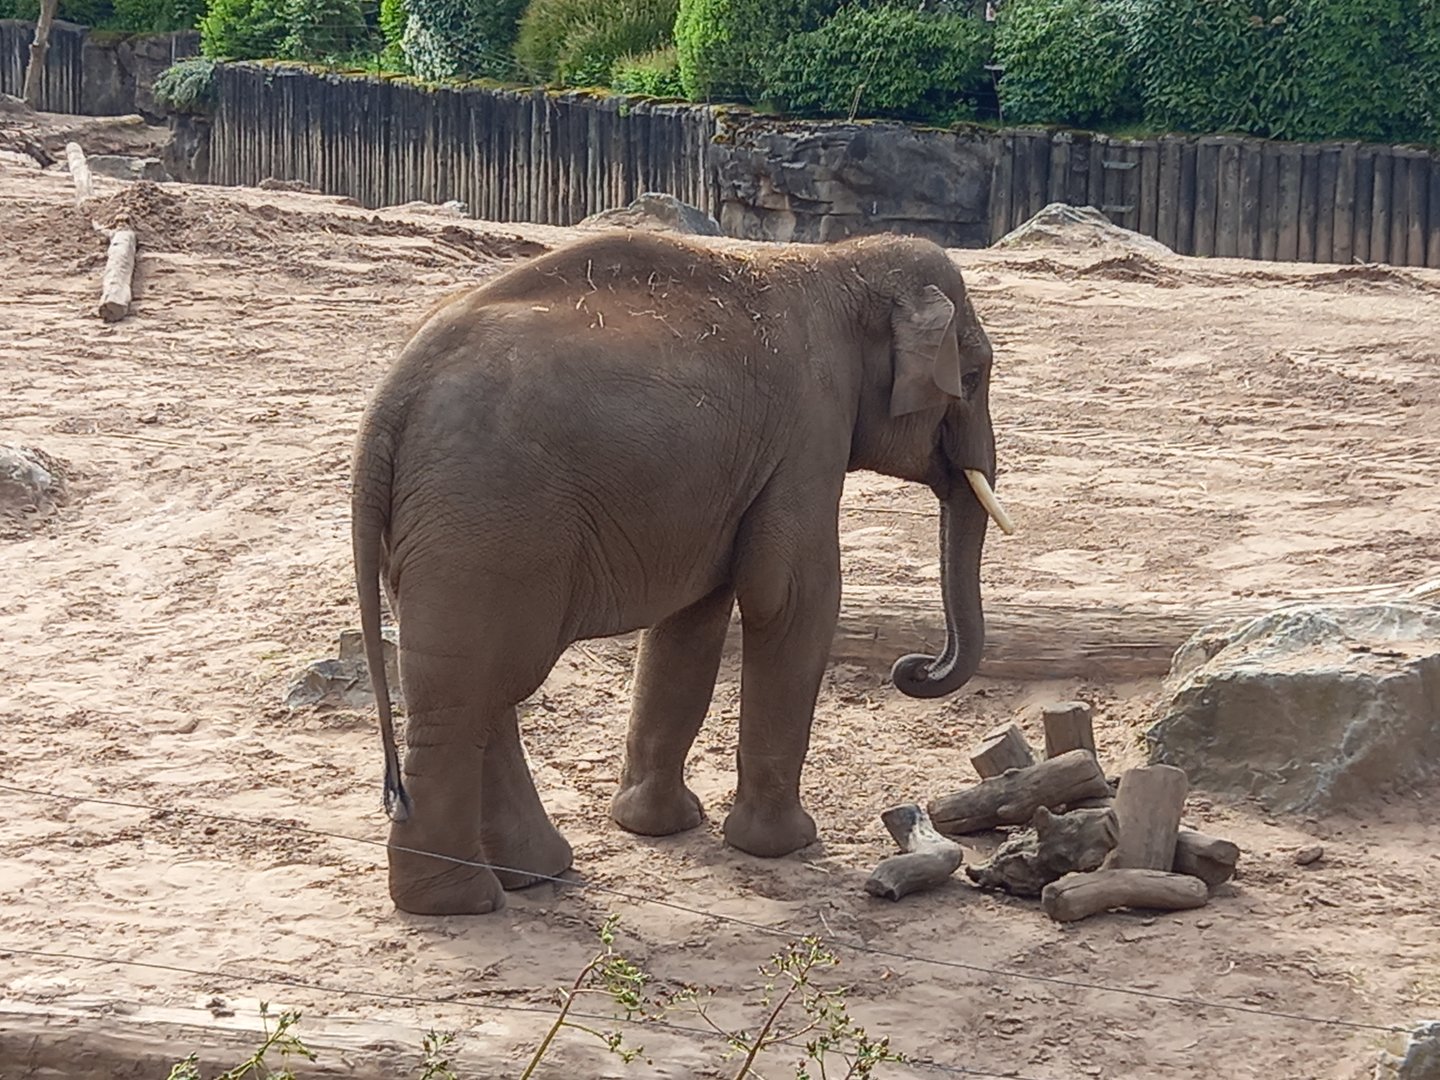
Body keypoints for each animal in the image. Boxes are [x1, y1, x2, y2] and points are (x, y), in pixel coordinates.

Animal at [350, 229, 1012, 915]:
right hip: (490, 518)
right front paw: (784, 845)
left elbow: (692, 618)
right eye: (972, 376)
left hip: (443, 530)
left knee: (478, 682)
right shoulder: (810, 426)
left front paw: (658, 827)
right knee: (469, 692)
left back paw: (531, 874)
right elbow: (790, 594)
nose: (915, 668)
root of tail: (390, 402)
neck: (839, 264)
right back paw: (459, 901)